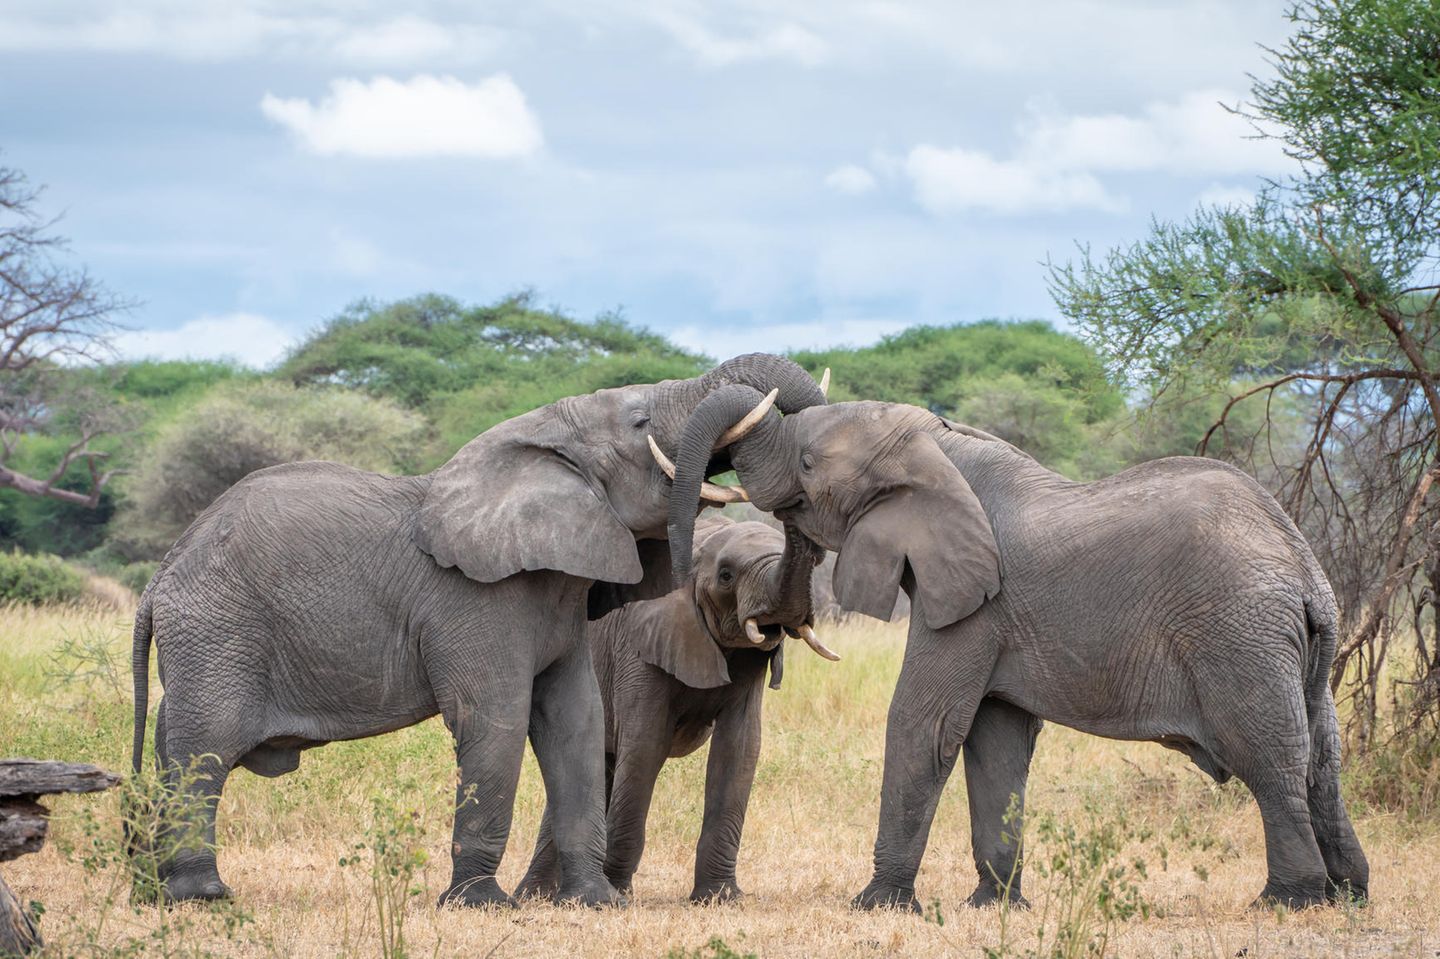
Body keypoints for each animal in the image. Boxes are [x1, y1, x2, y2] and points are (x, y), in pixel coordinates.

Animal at [515, 515, 835, 898]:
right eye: (726, 576)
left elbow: (739, 748)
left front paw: (720, 897)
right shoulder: (640, 643)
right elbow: (645, 747)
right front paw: (619, 892)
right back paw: (535, 895)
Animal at [662, 394, 1370, 910]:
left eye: (808, 463)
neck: (942, 448)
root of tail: (1305, 568)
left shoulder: (976, 605)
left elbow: (925, 724)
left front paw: (876, 905)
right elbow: (995, 740)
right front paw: (994, 906)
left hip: (1239, 638)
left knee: (1269, 758)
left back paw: (1287, 903)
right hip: (1293, 646)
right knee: (1323, 759)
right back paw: (1350, 896)